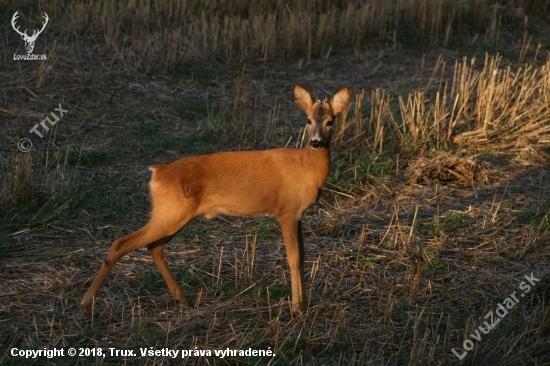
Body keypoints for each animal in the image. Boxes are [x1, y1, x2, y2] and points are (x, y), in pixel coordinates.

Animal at [81, 84, 350, 314]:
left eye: (330, 121)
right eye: (308, 120)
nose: (316, 142)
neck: (306, 169)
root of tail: (157, 172)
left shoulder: (299, 215)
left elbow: (303, 256)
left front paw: (304, 303)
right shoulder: (286, 210)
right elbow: (293, 257)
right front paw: (296, 308)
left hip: (173, 213)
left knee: (154, 247)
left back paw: (182, 298)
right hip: (171, 212)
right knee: (121, 243)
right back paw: (85, 303)